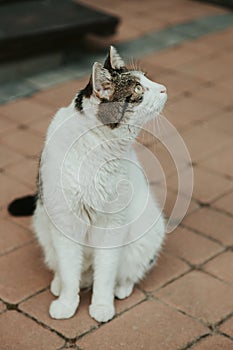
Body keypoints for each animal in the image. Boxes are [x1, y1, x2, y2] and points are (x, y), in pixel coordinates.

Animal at [30, 46, 167, 322]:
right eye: (138, 88)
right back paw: (59, 283)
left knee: (127, 271)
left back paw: (121, 288)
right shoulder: (64, 223)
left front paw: (102, 306)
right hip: (42, 224)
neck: (98, 147)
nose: (164, 88)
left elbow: (105, 273)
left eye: (147, 79)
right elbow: (69, 270)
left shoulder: (113, 225)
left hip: (147, 235)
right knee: (69, 269)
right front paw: (67, 303)